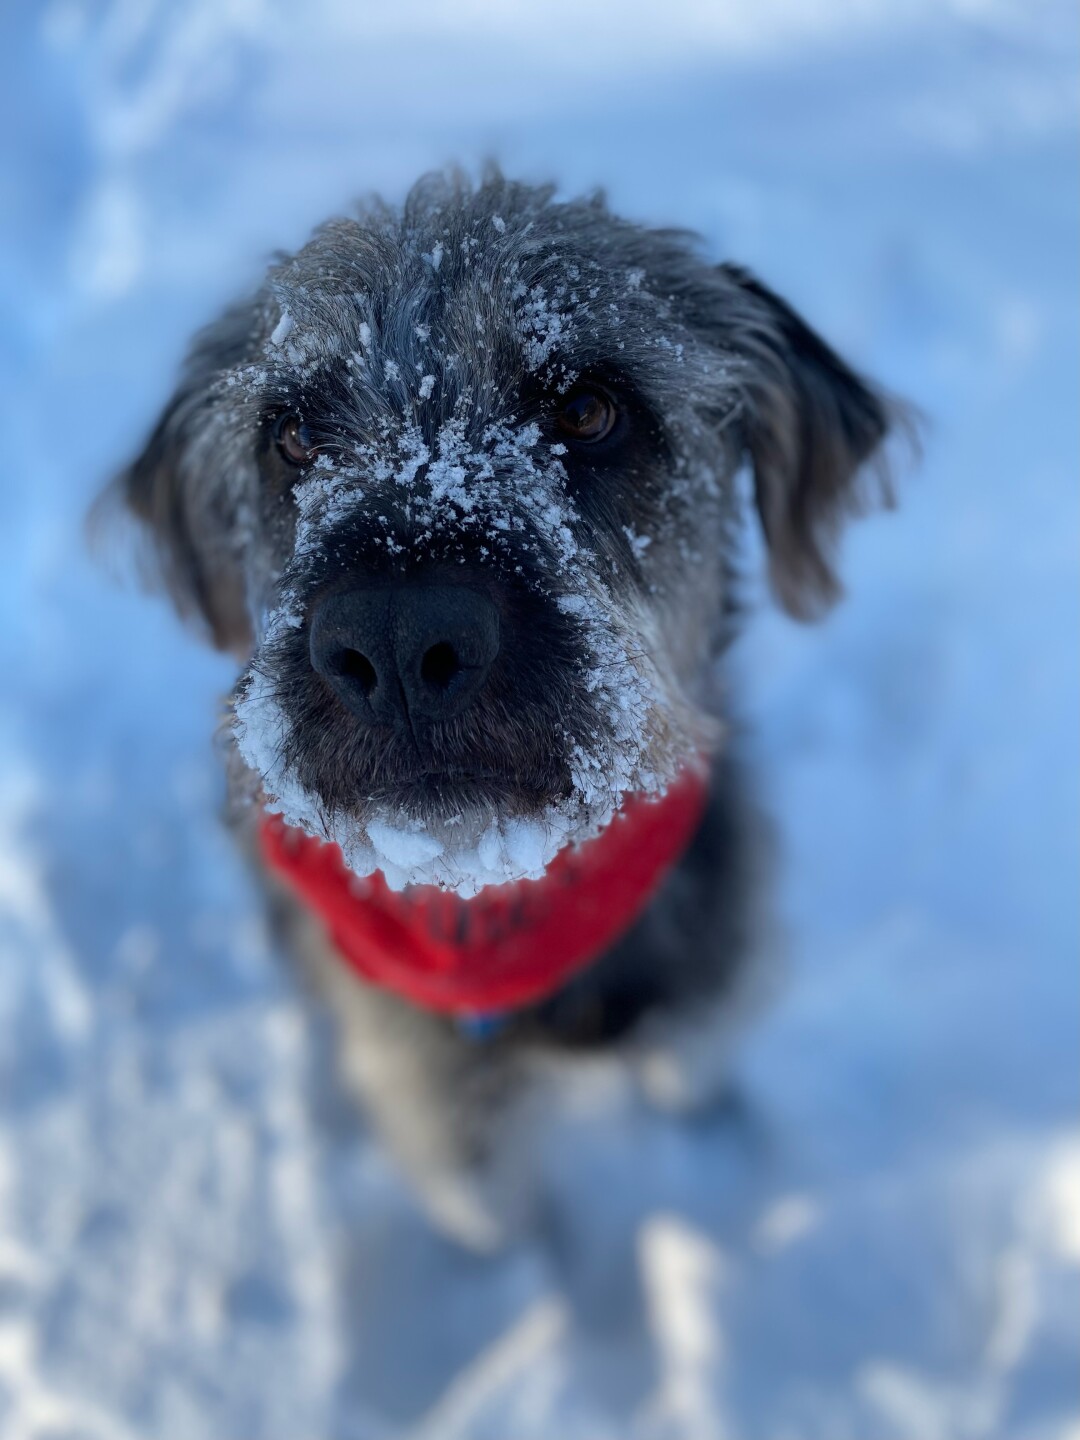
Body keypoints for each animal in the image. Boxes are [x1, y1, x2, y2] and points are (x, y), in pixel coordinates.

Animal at [99, 171, 898, 1249]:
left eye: (591, 408)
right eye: (294, 435)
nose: (396, 643)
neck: (503, 903)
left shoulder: (705, 995)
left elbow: (691, 1066)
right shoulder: (443, 1121)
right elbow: (499, 1219)